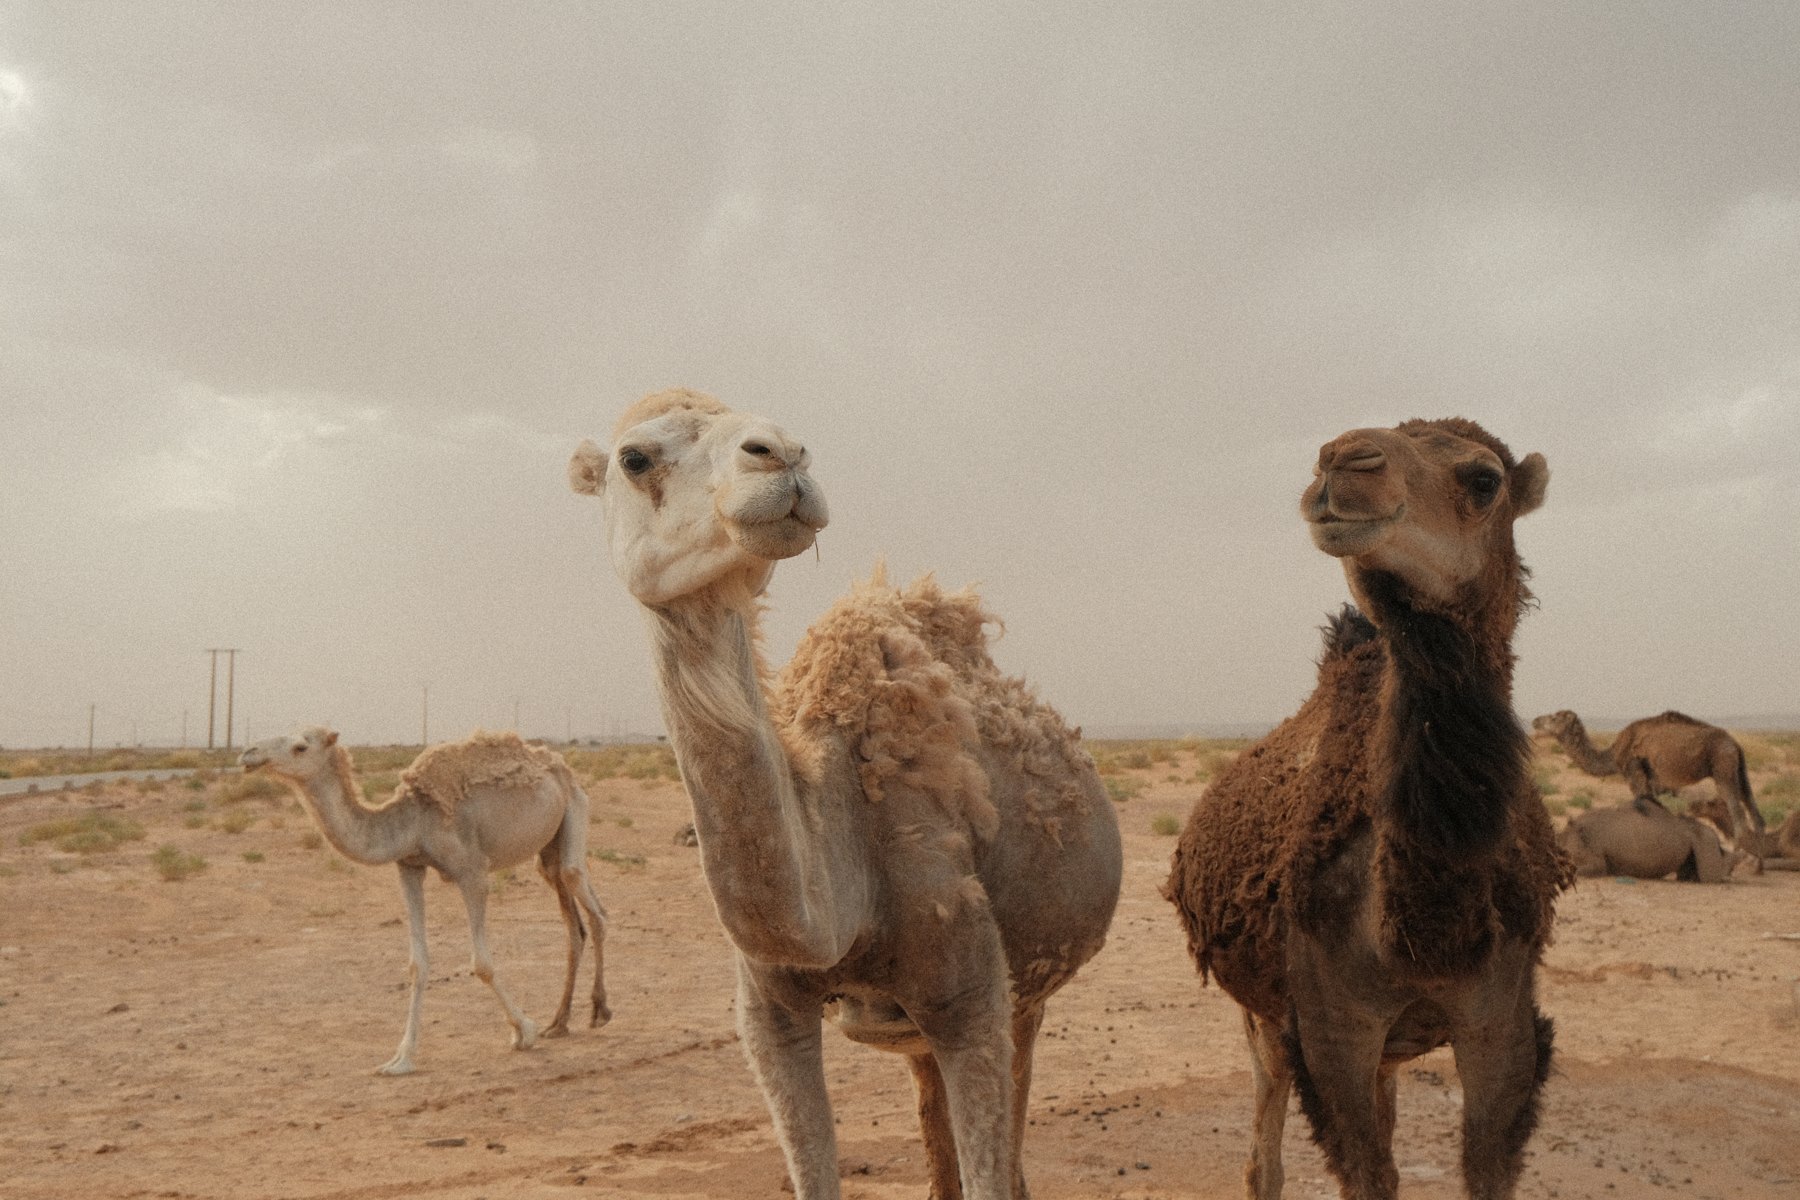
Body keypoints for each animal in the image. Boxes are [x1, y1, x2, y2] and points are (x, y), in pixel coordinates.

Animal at [240, 727, 609, 1075]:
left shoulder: (472, 871)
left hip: (575, 809)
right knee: (572, 921)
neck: (413, 820)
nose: (248, 753)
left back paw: (600, 1012)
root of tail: (559, 765)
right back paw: (559, 1023)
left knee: (589, 898)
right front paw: (401, 1059)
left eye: (300, 746)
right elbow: (418, 963)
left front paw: (524, 1031)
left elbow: (481, 963)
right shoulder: (409, 867)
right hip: (547, 852)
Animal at [1165, 418, 1572, 1200]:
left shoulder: (1502, 1024)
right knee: (1265, 1155)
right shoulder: (1333, 1029)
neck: (1423, 933)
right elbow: (1365, 1170)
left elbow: (1483, 1162)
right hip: (1264, 1017)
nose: (1342, 462)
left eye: (1484, 480)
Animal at [1531, 709, 1765, 846]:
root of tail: (1734, 743)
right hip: (1739, 770)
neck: (1614, 755)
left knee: (1736, 810)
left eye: (1554, 717)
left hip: (1722, 765)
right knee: (1753, 809)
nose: (1534, 721)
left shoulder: (1635, 774)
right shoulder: (1656, 785)